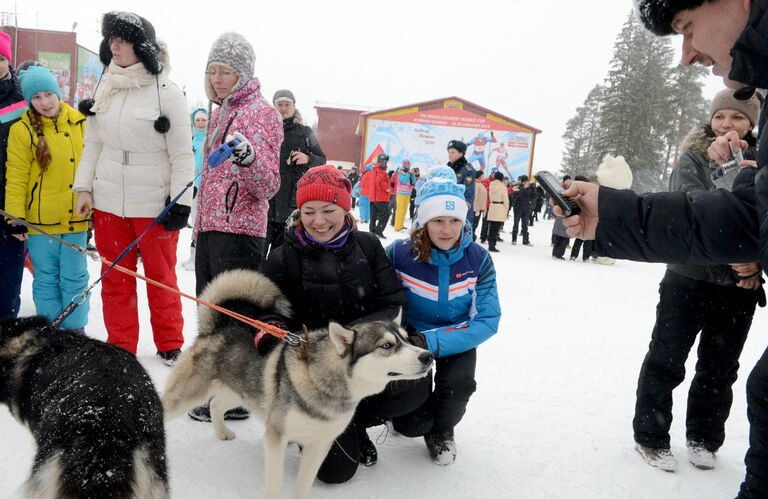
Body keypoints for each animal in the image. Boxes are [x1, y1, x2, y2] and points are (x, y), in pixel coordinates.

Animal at [161, 270, 432, 499]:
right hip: (187, 396)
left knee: (216, 404)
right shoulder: (276, 437)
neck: (322, 381)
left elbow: (304, 484)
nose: (428, 356)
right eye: (386, 345)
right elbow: (274, 485)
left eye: (406, 340)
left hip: (240, 392)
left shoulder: (319, 445)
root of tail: (216, 328)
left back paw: (221, 432)